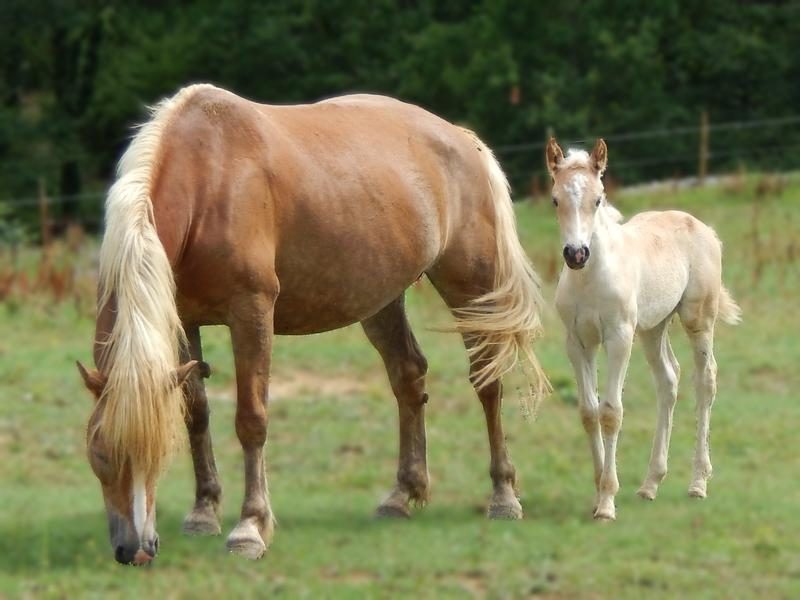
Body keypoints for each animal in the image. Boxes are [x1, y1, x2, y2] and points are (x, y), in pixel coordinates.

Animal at [76, 84, 552, 564]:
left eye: (156, 453)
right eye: (99, 451)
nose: (135, 549)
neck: (209, 176)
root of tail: (463, 140)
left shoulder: (251, 311)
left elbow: (251, 419)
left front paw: (250, 528)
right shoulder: (185, 320)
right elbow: (197, 413)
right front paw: (204, 512)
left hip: (471, 289)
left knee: (486, 382)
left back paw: (503, 497)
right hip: (380, 299)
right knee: (408, 376)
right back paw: (401, 495)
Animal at [548, 136, 740, 520]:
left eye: (598, 199)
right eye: (555, 199)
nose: (576, 254)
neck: (591, 278)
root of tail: (704, 229)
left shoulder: (619, 337)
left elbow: (610, 412)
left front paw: (607, 502)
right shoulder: (578, 342)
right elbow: (588, 412)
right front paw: (598, 491)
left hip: (697, 319)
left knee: (705, 380)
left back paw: (698, 483)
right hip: (653, 327)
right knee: (668, 380)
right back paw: (651, 483)